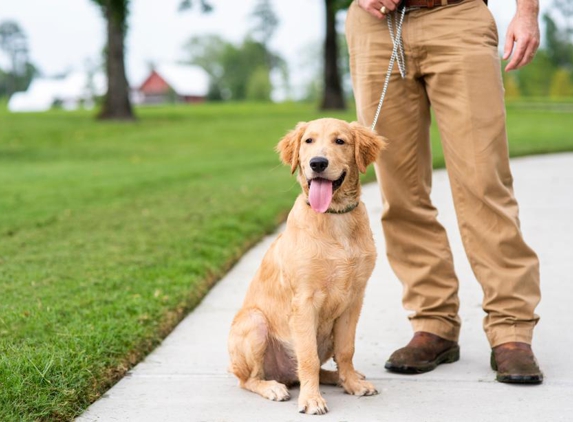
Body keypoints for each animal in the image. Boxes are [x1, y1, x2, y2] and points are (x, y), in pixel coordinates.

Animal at [227, 117, 384, 414]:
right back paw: (273, 387)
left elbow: (346, 350)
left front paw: (352, 383)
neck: (335, 218)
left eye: (340, 141)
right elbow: (308, 357)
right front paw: (311, 400)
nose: (318, 163)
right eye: (308, 141)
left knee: (311, 369)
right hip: (254, 323)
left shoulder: (354, 299)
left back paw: (343, 377)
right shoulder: (304, 301)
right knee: (250, 379)